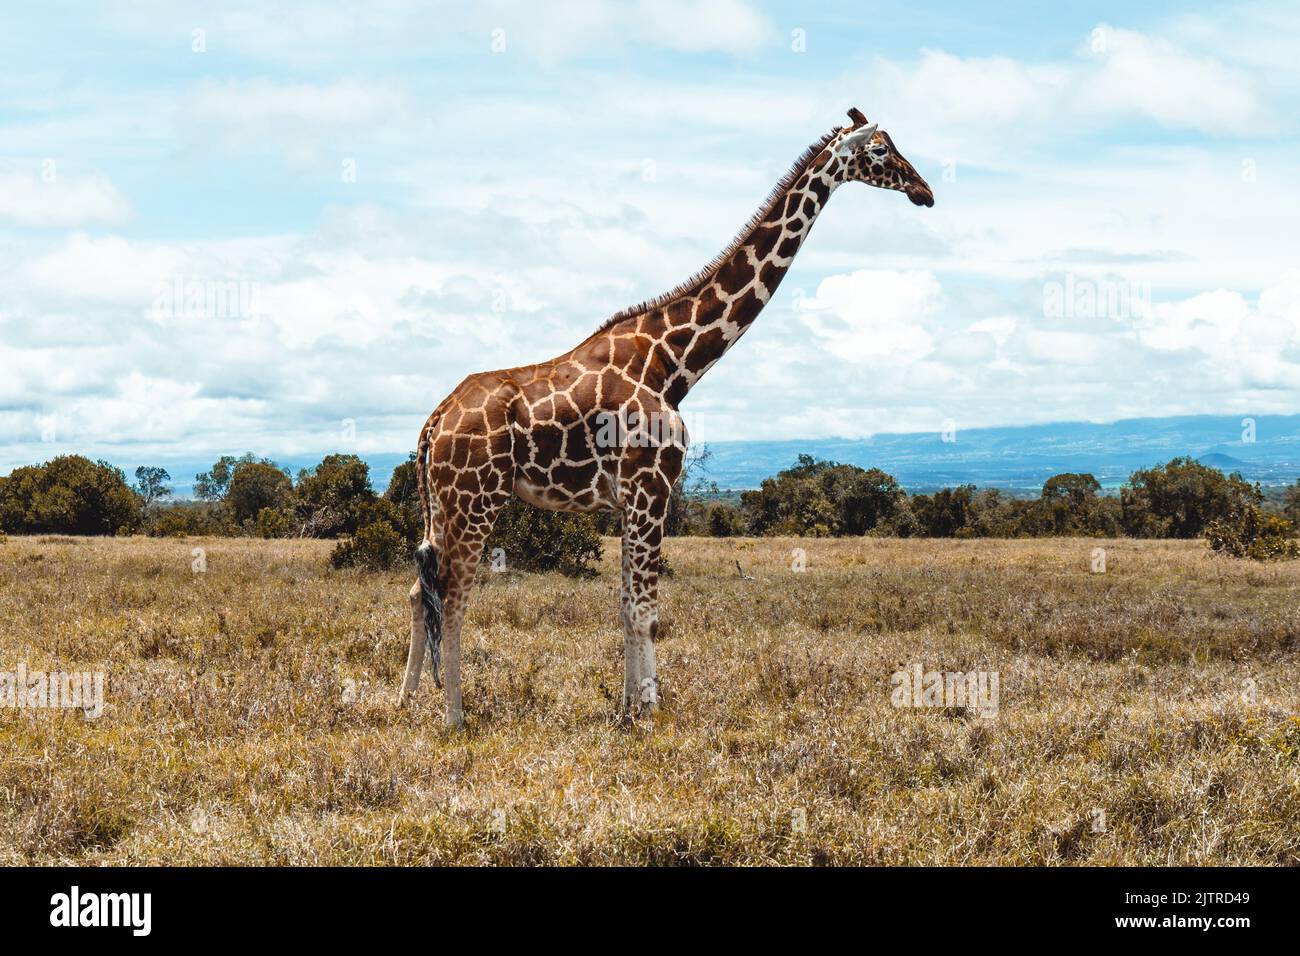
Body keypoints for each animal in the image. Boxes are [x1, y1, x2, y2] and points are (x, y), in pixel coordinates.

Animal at [398, 108, 934, 728]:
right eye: (880, 151)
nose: (925, 191)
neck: (674, 362)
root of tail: (433, 423)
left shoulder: (630, 498)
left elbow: (626, 603)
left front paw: (630, 708)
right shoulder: (652, 487)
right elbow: (646, 609)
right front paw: (649, 714)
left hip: (441, 505)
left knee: (420, 589)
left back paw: (407, 702)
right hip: (476, 501)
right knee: (454, 594)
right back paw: (454, 716)